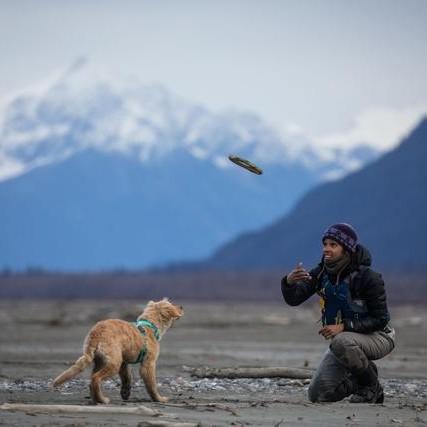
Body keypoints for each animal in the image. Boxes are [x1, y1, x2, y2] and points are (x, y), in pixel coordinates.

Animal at [52, 298, 184, 404]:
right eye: (172, 303)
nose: (182, 306)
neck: (150, 326)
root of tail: (95, 334)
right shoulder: (148, 363)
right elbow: (152, 385)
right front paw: (159, 399)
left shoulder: (124, 362)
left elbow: (127, 378)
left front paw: (125, 393)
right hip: (114, 362)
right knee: (96, 378)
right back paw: (102, 399)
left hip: (101, 360)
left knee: (92, 380)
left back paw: (97, 399)